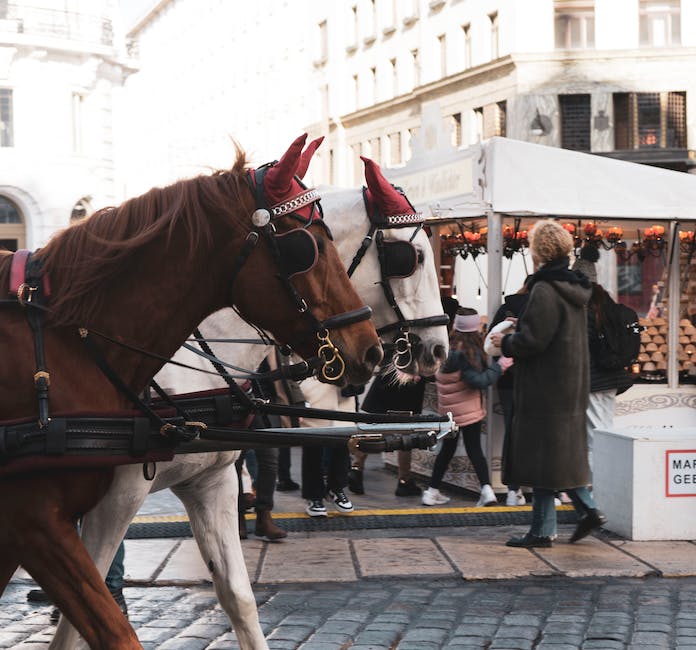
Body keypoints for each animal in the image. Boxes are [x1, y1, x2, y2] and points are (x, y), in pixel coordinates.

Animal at [51, 157, 448, 648]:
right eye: (411, 259)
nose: (439, 348)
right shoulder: (115, 499)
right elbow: (81, 617)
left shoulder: (211, 482)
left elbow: (238, 596)